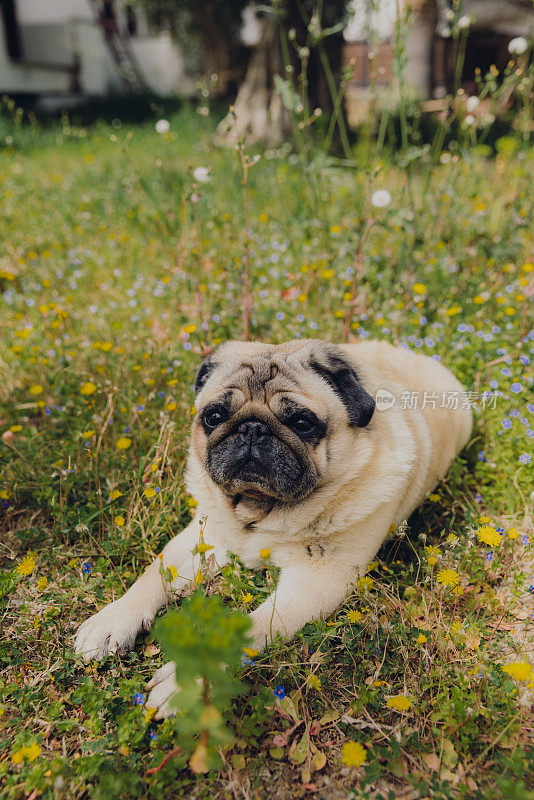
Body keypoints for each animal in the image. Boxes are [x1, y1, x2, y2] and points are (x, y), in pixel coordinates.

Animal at [75, 340, 474, 716]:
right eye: (214, 416)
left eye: (302, 423)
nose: (252, 428)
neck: (259, 511)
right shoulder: (203, 540)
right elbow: (153, 575)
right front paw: (112, 620)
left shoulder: (317, 579)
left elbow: (249, 627)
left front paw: (187, 682)